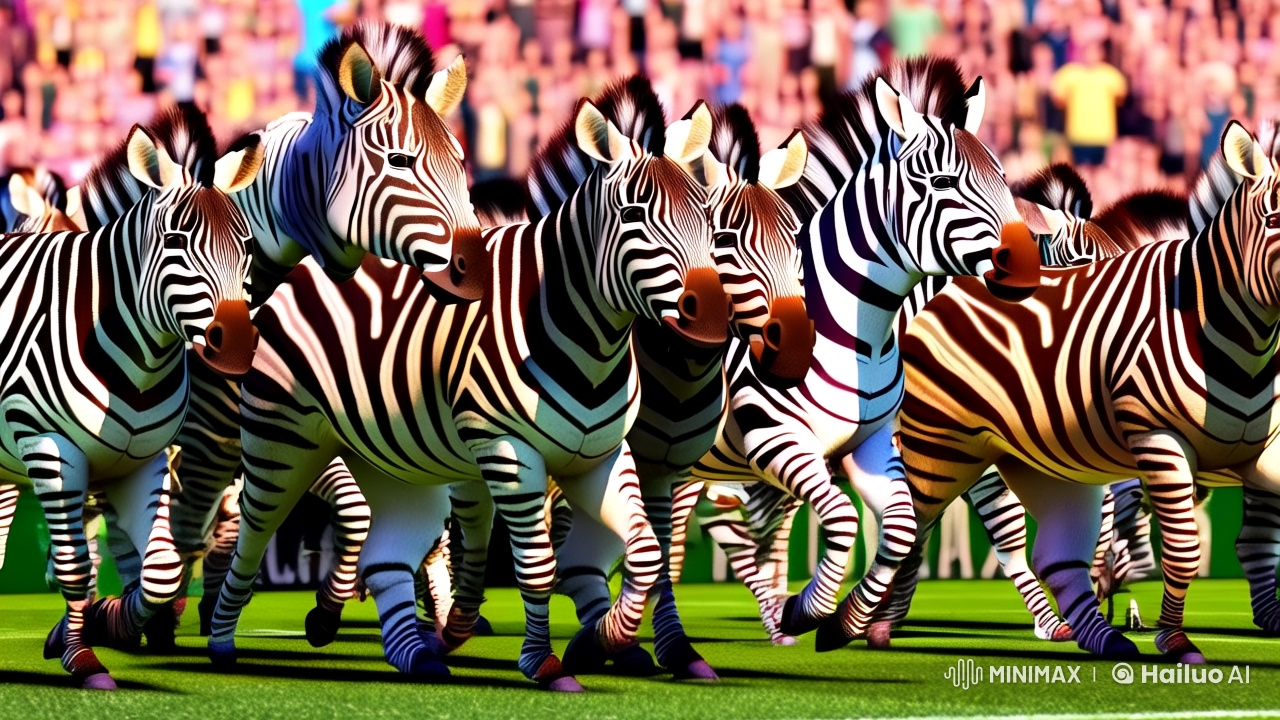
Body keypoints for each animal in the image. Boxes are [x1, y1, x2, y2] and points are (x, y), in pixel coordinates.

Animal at [0, 116, 263, 689]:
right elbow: (75, 565)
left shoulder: (142, 462)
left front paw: (116, 623)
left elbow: (160, 569)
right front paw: (83, 657)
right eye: (176, 240)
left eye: (246, 245)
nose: (235, 343)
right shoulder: (50, 449)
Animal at [72, 23, 484, 638]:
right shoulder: (211, 440)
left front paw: (327, 608)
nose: (478, 268)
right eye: (400, 160)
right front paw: (162, 619)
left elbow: (358, 513)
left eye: (461, 160)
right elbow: (185, 534)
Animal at [206, 77, 725, 691]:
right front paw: (545, 664)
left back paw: (414, 653)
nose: (713, 316)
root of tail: (310, 268)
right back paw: (220, 642)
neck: (588, 337)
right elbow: (539, 565)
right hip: (280, 443)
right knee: (250, 538)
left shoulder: (599, 459)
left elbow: (644, 551)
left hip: (395, 465)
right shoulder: (507, 450)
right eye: (635, 213)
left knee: (386, 554)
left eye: (706, 216)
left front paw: (600, 641)